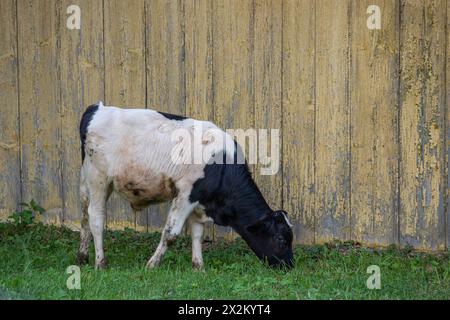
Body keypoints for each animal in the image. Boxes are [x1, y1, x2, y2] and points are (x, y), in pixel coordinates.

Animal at [76, 102, 296, 270]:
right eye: (281, 239)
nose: (289, 266)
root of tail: (97, 108)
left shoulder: (199, 202)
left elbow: (197, 234)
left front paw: (199, 267)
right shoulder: (185, 195)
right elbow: (170, 234)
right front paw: (152, 265)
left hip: (86, 182)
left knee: (84, 217)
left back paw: (82, 256)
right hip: (98, 180)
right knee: (96, 218)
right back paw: (100, 263)